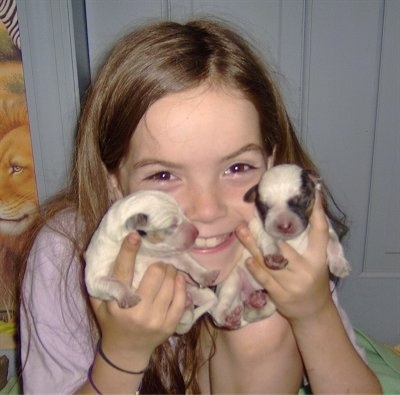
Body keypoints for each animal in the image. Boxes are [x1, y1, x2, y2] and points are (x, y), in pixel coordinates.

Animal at [85, 190, 219, 332]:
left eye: (184, 213)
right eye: (172, 225)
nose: (197, 232)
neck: (142, 251)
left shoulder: (167, 254)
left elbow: (188, 262)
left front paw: (206, 275)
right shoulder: (96, 273)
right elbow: (112, 282)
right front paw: (128, 296)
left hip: (200, 294)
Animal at [212, 162, 350, 330]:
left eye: (301, 200)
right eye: (264, 207)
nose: (284, 225)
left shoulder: (326, 229)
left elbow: (334, 242)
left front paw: (339, 264)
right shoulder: (261, 230)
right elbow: (269, 240)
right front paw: (275, 256)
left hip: (273, 299)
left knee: (262, 310)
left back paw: (255, 303)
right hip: (232, 281)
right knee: (221, 306)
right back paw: (227, 317)